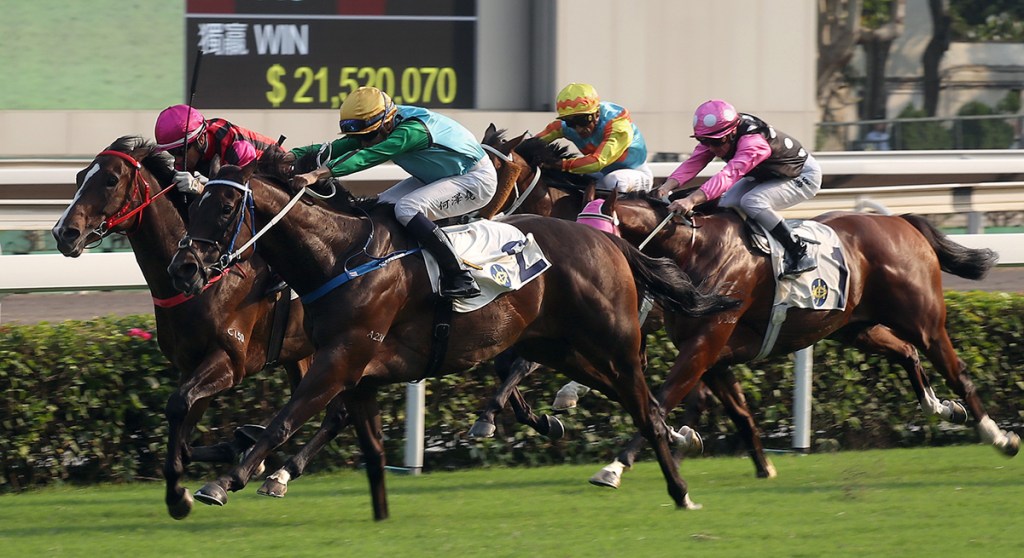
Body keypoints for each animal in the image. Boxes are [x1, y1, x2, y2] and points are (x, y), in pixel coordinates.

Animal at [50, 136, 317, 520]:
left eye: (111, 180)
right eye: (78, 176)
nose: (64, 233)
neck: (205, 282)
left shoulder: (229, 361)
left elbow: (177, 406)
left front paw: (178, 495)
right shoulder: (191, 365)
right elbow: (186, 432)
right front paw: (237, 447)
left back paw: (277, 472)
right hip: (302, 353)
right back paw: (277, 472)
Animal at [165, 161, 739, 519]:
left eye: (223, 209)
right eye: (191, 204)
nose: (185, 267)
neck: (341, 256)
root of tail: (609, 238)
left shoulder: (340, 359)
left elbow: (283, 422)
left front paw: (221, 482)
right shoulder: (355, 371)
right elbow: (366, 444)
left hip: (612, 345)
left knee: (645, 407)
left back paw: (677, 489)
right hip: (563, 349)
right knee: (639, 405)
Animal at [579, 191, 1020, 488]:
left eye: (595, 232)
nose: (587, 277)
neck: (694, 250)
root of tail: (903, 222)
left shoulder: (705, 343)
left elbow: (660, 401)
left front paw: (615, 467)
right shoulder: (714, 353)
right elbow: (737, 410)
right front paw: (761, 465)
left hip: (924, 321)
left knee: (957, 372)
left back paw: (999, 437)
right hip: (854, 327)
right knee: (907, 352)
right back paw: (943, 408)